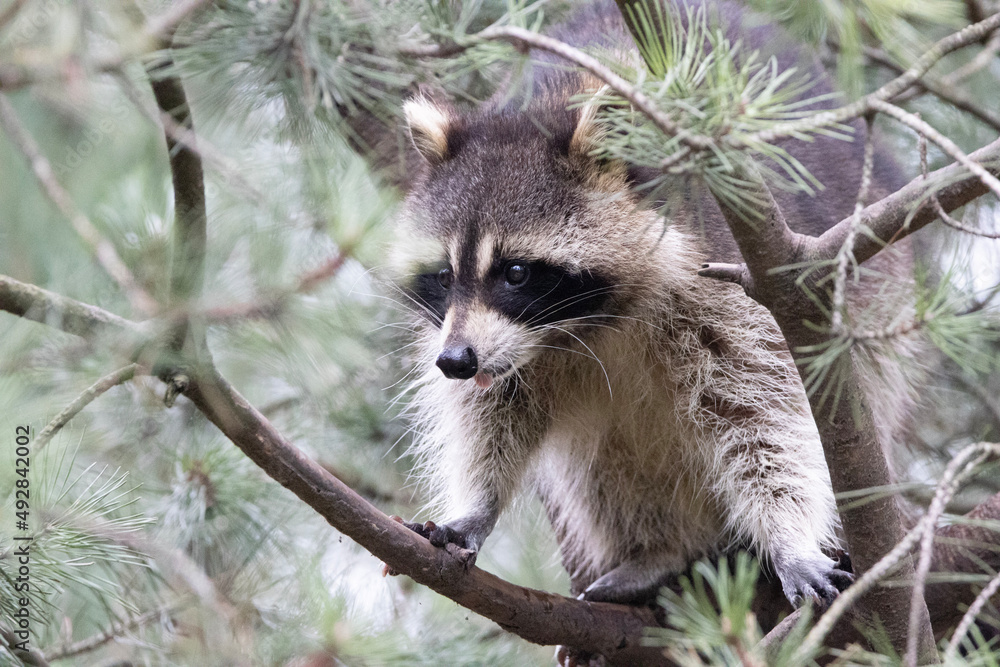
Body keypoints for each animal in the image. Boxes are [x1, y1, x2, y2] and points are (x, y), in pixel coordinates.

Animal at [387, 0, 915, 611]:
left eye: (515, 273)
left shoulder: (729, 272)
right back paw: (658, 547)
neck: (586, 324)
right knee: (602, 464)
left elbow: (765, 411)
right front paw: (477, 504)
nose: (454, 361)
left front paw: (789, 535)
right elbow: (492, 413)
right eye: (445, 277)